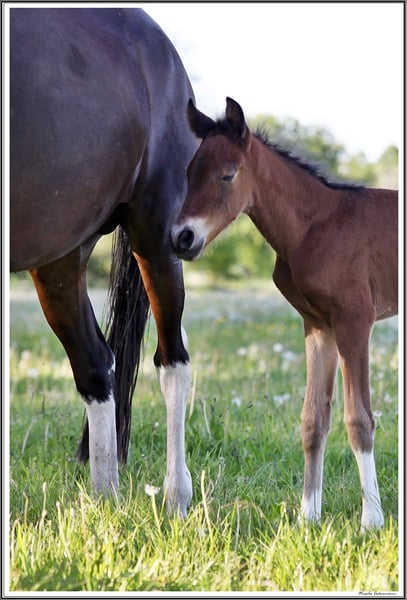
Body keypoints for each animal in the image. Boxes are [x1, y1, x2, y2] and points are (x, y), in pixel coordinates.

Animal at [10, 8, 197, 517]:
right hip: (60, 254)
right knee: (96, 363)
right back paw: (105, 500)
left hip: (157, 239)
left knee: (172, 360)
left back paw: (175, 497)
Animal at [171, 97, 398, 530]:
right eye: (188, 173)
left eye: (227, 175)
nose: (182, 238)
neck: (314, 228)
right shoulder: (320, 326)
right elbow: (313, 420)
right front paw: (308, 516)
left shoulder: (355, 321)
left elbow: (359, 419)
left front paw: (371, 521)